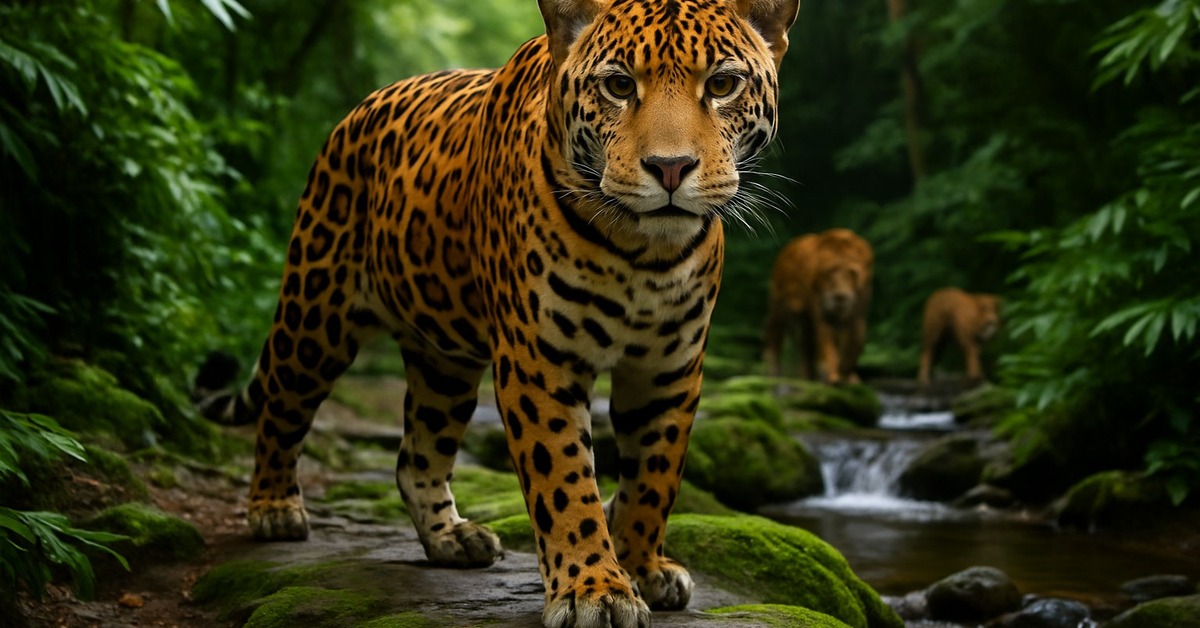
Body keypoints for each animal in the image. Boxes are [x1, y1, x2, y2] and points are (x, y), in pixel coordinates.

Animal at [193, 1, 801, 626]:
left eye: (723, 85)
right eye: (618, 86)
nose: (671, 168)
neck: (643, 250)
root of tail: (359, 109)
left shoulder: (669, 369)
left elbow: (655, 477)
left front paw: (643, 565)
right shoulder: (540, 362)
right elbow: (565, 478)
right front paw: (594, 589)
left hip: (444, 362)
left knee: (416, 454)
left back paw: (451, 538)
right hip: (316, 312)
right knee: (281, 409)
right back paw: (273, 509)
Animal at [762, 228, 873, 385]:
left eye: (852, 273)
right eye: (831, 271)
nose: (840, 297)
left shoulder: (858, 313)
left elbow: (855, 340)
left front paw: (847, 377)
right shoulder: (821, 311)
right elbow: (826, 341)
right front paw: (832, 378)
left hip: (803, 321)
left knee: (805, 348)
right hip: (779, 307)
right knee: (775, 339)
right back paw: (777, 376)